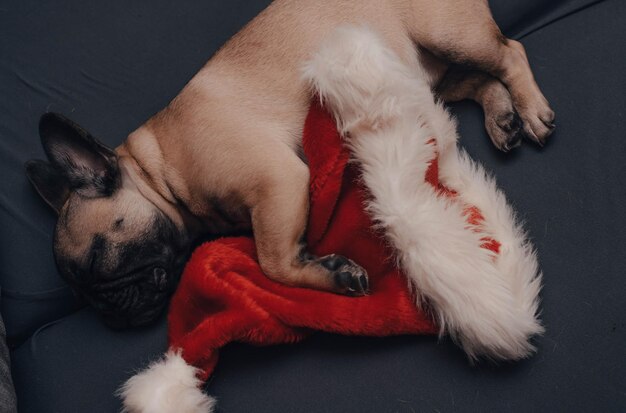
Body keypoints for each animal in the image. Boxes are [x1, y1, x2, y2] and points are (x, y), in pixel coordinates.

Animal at [24, 0, 552, 328]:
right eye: (79, 298)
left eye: (99, 260)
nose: (107, 313)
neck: (161, 167)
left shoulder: (277, 182)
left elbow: (272, 261)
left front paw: (333, 275)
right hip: (433, 73)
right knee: (481, 80)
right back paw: (503, 117)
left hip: (447, 34)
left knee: (509, 52)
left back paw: (530, 109)